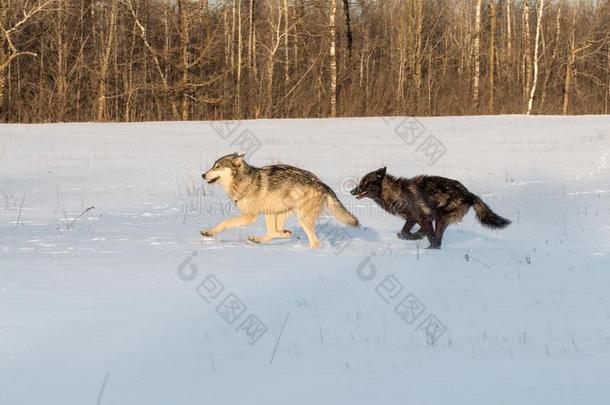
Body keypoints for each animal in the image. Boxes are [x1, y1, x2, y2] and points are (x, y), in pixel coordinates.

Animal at [200, 152, 356, 246]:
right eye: (213, 166)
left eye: (217, 167)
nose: (203, 175)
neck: (244, 182)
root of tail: (323, 184)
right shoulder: (268, 212)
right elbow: (273, 231)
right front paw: (284, 234)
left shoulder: (251, 216)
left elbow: (225, 222)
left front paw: (209, 232)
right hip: (281, 212)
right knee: (274, 231)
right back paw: (261, 238)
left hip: (301, 217)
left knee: (314, 242)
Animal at [346, 166, 508, 248]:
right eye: (361, 182)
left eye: (365, 183)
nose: (352, 191)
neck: (396, 193)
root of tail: (469, 194)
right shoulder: (414, 219)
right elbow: (407, 232)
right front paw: (415, 236)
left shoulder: (423, 218)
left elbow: (413, 233)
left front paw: (415, 237)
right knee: (438, 241)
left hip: (441, 215)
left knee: (437, 242)